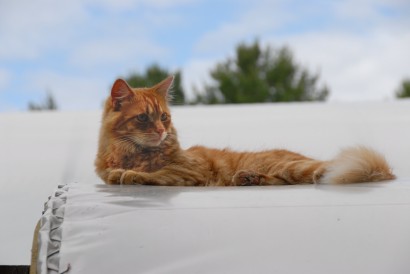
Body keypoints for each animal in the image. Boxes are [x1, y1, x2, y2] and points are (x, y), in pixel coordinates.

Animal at [94, 75, 396, 186]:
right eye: (144, 118)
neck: (132, 153)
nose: (160, 131)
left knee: (329, 169)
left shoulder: (188, 170)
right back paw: (248, 178)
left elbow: (157, 174)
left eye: (164, 117)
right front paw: (121, 172)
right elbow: (114, 174)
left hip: (296, 166)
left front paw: (132, 174)